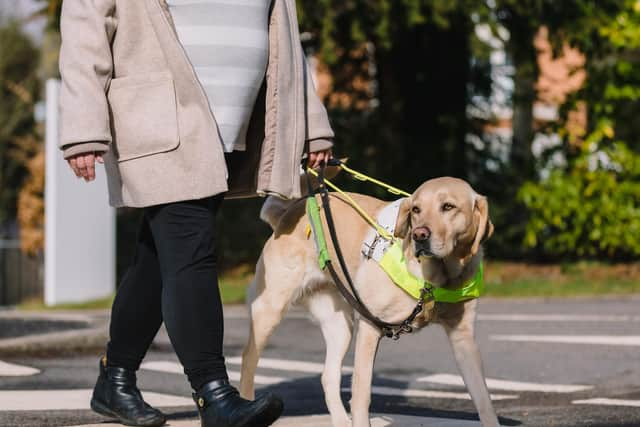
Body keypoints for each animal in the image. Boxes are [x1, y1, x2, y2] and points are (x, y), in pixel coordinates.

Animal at [240, 176, 500, 426]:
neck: (434, 280)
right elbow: (361, 394)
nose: (419, 235)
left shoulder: (463, 338)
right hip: (270, 309)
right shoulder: (370, 326)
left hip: (340, 327)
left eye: (448, 207)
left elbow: (483, 399)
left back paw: (340, 421)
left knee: (328, 376)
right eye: (416, 209)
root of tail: (288, 215)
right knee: (248, 362)